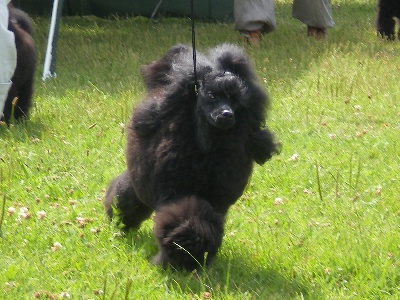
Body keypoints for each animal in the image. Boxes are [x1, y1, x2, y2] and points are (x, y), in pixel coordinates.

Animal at [104, 43, 280, 270]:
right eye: (212, 96)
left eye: (234, 99)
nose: (227, 114)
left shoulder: (215, 201)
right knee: (125, 198)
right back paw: (117, 223)